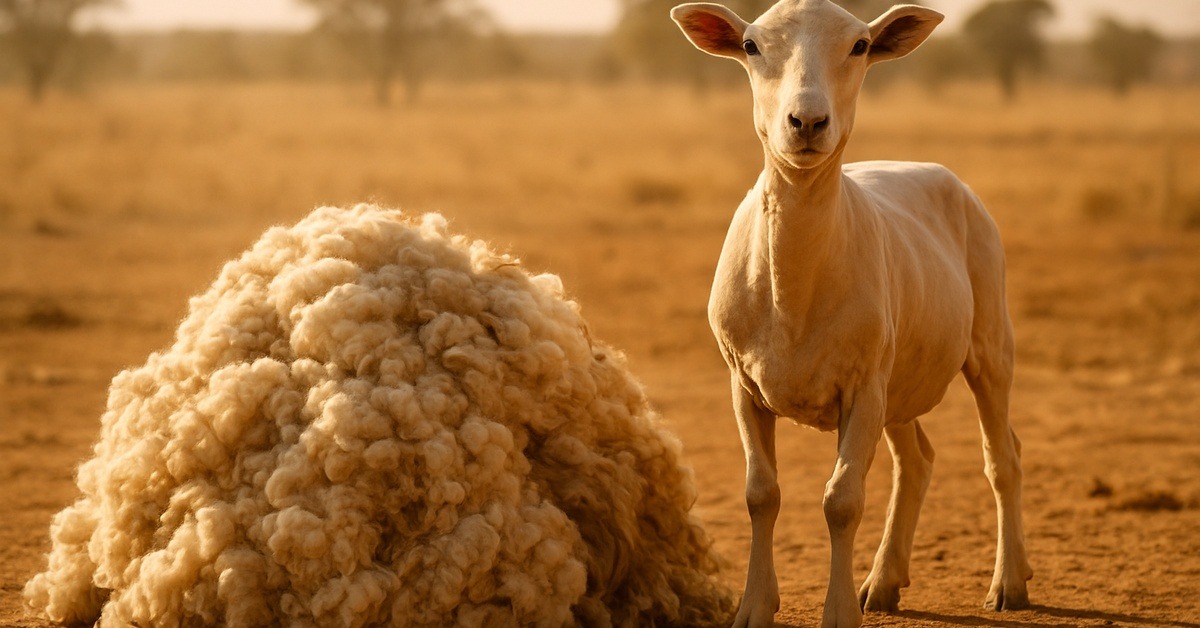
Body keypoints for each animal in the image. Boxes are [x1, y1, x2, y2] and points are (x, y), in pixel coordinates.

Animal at [670, 1, 1032, 626]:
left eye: (860, 46)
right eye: (750, 45)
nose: (807, 121)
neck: (793, 293)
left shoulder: (862, 386)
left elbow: (842, 500)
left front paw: (837, 612)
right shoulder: (742, 380)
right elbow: (760, 494)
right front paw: (754, 606)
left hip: (987, 337)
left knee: (1001, 457)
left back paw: (1009, 582)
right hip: (901, 371)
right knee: (917, 460)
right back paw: (884, 583)